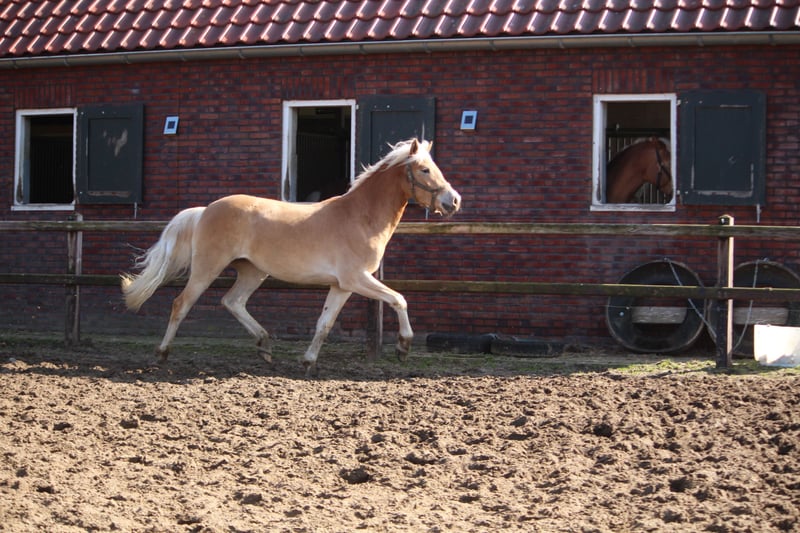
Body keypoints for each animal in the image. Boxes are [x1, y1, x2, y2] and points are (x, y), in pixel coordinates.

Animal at [121, 138, 461, 376]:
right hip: (208, 267)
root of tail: (205, 210)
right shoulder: (357, 279)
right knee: (181, 304)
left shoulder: (342, 286)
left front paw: (308, 362)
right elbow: (399, 299)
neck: (360, 218)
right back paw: (162, 353)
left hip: (252, 271)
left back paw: (265, 346)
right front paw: (404, 347)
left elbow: (324, 323)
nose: (453, 200)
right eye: (425, 169)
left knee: (232, 301)